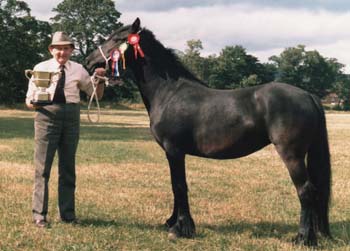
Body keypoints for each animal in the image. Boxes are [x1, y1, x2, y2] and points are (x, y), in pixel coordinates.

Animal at [86, 18, 332, 245]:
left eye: (117, 38)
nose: (89, 60)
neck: (168, 92)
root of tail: (308, 95)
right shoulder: (172, 153)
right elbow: (175, 186)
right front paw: (171, 221)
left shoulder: (174, 150)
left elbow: (179, 186)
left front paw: (181, 228)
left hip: (292, 155)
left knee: (306, 191)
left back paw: (303, 238)